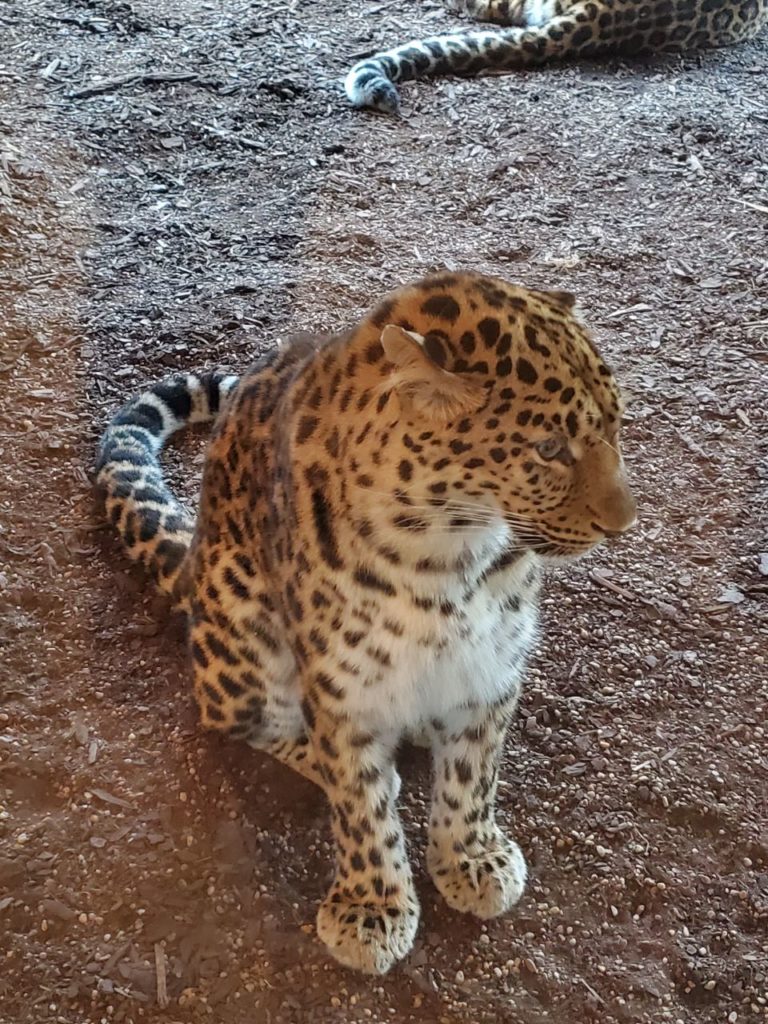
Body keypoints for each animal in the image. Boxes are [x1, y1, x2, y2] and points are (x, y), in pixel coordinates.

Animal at [96, 272, 638, 974]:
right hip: (245, 643)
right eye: (549, 449)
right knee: (244, 722)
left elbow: (475, 775)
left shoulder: (491, 664)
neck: (450, 557)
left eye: (618, 426)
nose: (623, 524)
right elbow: (360, 806)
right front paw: (371, 908)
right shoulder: (343, 686)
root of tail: (192, 562)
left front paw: (472, 858)